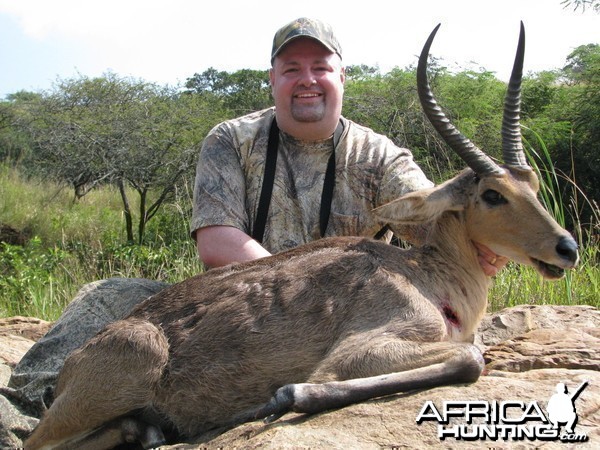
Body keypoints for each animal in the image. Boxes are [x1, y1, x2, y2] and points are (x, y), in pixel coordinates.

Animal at [25, 22, 580, 448]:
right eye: (492, 194)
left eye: (532, 184)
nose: (567, 248)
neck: (424, 274)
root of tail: (73, 366)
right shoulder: (363, 352)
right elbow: (469, 358)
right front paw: (286, 395)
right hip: (123, 369)